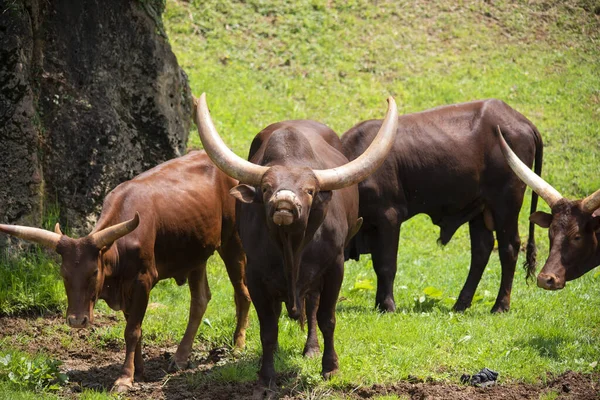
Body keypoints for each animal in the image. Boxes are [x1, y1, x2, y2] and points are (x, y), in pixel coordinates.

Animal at [0, 152, 251, 392]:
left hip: (233, 242)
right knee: (200, 300)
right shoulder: (126, 291)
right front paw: (138, 370)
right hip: (196, 254)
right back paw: (181, 357)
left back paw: (237, 346)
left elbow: (132, 330)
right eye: (63, 274)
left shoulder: (142, 282)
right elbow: (135, 326)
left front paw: (124, 378)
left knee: (242, 293)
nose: (77, 320)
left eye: (94, 272)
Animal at [193, 92, 398, 386]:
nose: (284, 204)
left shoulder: (334, 267)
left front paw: (330, 367)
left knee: (311, 308)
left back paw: (311, 349)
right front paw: (266, 375)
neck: (290, 246)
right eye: (266, 188)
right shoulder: (256, 274)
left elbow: (326, 318)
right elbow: (268, 326)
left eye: (309, 190)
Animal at [342, 98, 544, 314]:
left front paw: (387, 305)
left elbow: (385, 265)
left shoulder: (389, 218)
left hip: (506, 204)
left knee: (509, 248)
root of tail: (522, 121)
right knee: (481, 250)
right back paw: (461, 304)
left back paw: (500, 305)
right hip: (481, 210)